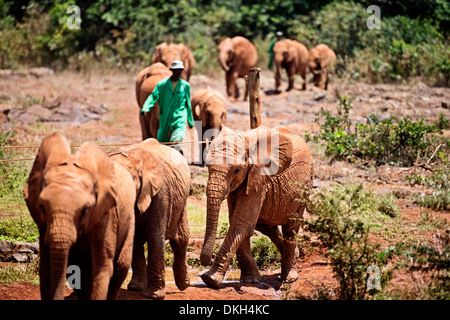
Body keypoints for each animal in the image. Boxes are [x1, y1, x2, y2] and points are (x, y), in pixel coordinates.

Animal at [23, 132, 135, 300]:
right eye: (42, 207)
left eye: (85, 211)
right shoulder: (43, 226)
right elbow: (46, 269)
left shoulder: (105, 217)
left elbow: (102, 268)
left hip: (130, 220)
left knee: (121, 266)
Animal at [108, 138, 191, 300]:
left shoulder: (161, 193)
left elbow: (155, 235)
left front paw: (153, 295)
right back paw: (135, 287)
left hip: (181, 201)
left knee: (180, 239)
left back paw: (184, 285)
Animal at [200, 125, 312, 290]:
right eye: (207, 166)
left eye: (236, 170)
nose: (205, 262)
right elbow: (239, 223)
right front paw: (250, 281)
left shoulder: (259, 178)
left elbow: (241, 224)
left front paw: (210, 279)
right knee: (265, 225)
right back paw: (296, 255)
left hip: (304, 187)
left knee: (290, 226)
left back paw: (289, 278)